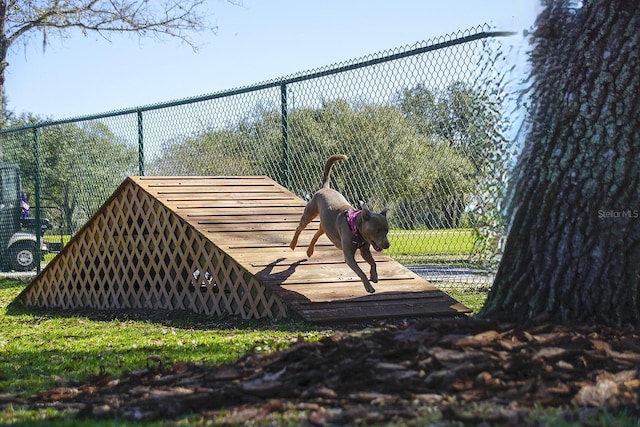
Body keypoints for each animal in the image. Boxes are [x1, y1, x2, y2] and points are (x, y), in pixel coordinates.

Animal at [290, 155, 390, 294]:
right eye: (377, 231)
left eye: (387, 231)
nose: (387, 245)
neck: (355, 225)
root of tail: (325, 188)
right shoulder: (349, 256)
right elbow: (360, 272)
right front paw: (369, 286)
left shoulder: (364, 250)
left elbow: (374, 262)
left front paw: (374, 276)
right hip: (309, 214)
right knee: (299, 227)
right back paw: (293, 244)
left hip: (326, 226)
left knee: (316, 233)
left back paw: (310, 251)